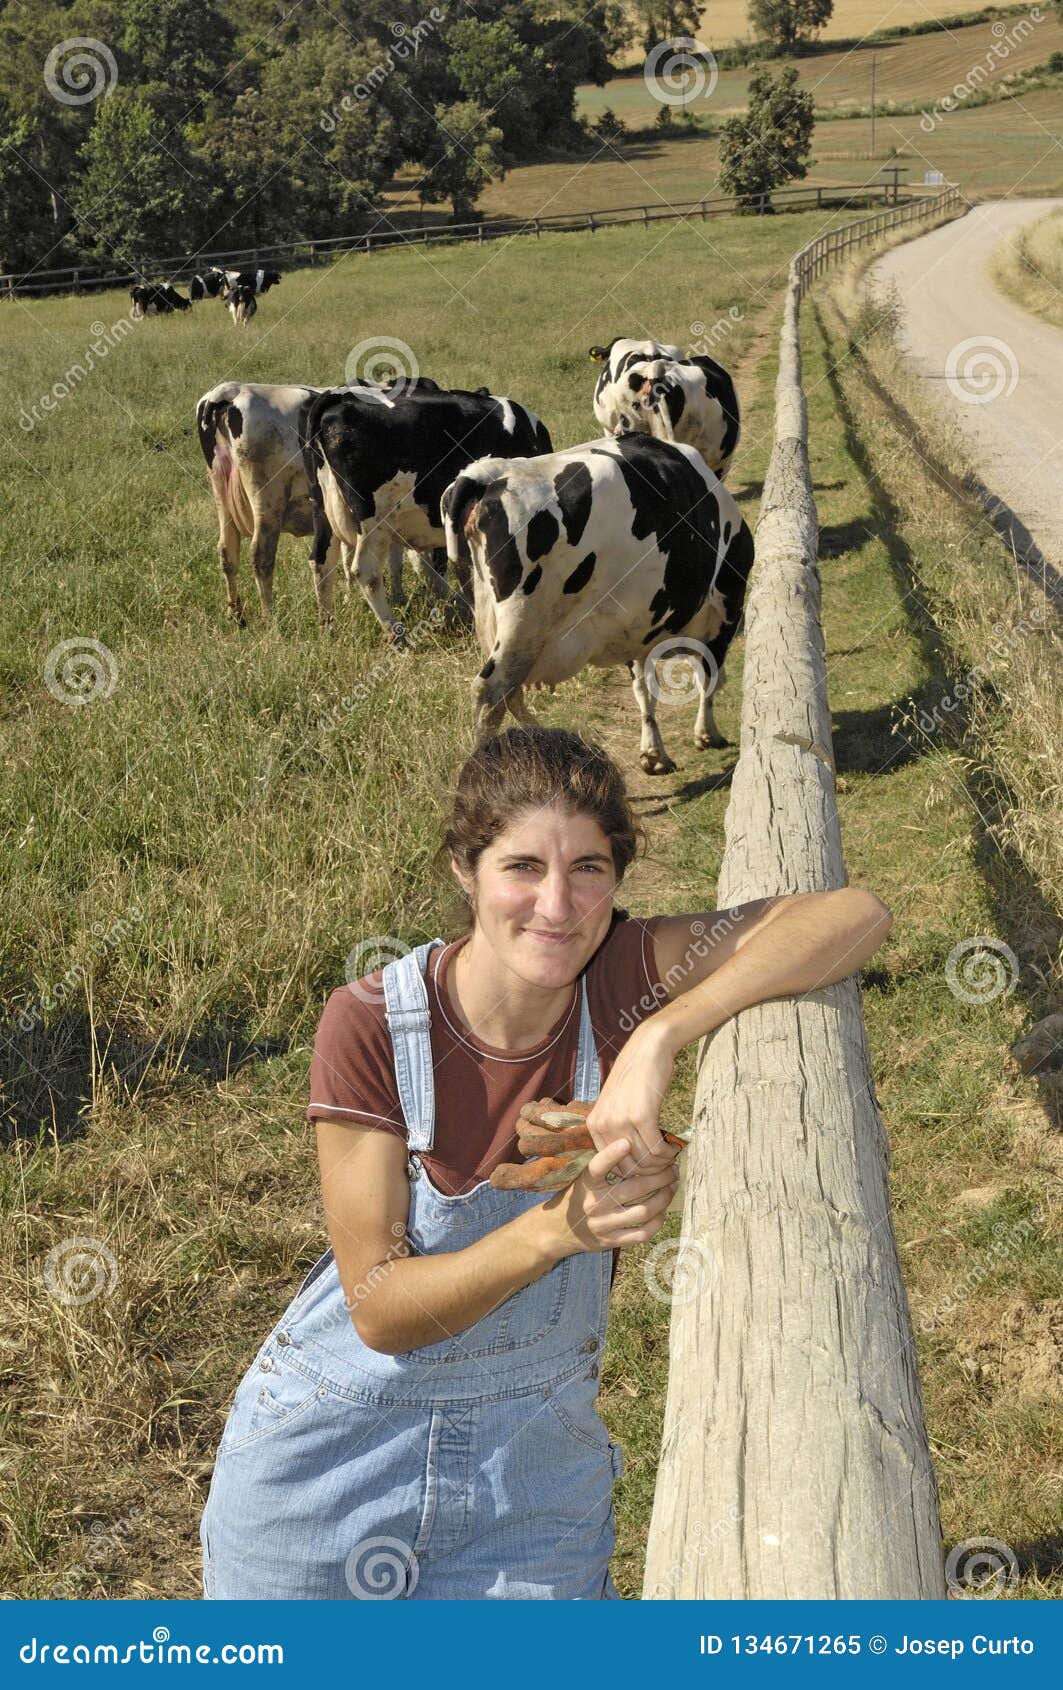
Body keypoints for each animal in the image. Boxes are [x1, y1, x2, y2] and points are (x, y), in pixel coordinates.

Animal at [196, 376, 442, 628]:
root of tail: (229, 391)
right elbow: (394, 559)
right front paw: (399, 598)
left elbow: (348, 556)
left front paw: (351, 599)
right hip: (268, 502)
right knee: (261, 556)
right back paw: (270, 619)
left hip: (222, 498)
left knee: (227, 551)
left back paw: (236, 615)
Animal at [295, 388, 550, 645]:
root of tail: (339, 397)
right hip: (372, 520)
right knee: (366, 571)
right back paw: (396, 634)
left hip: (322, 511)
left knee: (321, 562)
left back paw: (327, 626)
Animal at [439, 436, 753, 777]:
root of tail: (487, 474)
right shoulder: (727, 607)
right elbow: (707, 674)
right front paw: (707, 734)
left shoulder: (639, 626)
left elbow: (644, 688)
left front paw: (653, 752)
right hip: (523, 624)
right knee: (490, 693)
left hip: (489, 618)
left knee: (509, 694)